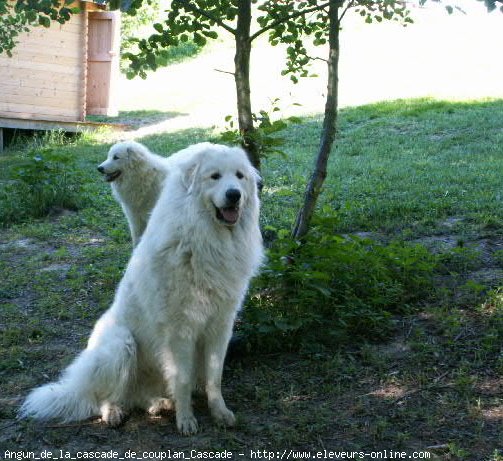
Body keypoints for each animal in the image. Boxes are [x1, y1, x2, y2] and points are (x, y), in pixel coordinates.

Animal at [19, 144, 264, 434]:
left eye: (239, 176)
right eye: (214, 176)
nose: (234, 194)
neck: (206, 239)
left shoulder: (220, 326)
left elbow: (214, 377)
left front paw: (220, 413)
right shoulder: (179, 330)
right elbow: (182, 379)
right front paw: (186, 420)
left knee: (136, 397)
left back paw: (159, 404)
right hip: (120, 345)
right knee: (105, 397)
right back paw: (114, 413)